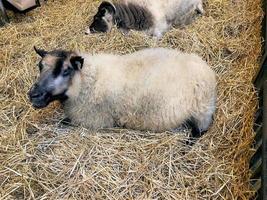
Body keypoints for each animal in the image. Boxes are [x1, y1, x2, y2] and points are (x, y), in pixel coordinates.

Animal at [28, 47, 218, 138]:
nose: (33, 95)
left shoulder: (92, 120)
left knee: (200, 130)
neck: (88, 80)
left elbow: (62, 122)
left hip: (201, 110)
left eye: (66, 70)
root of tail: (207, 70)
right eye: (40, 66)